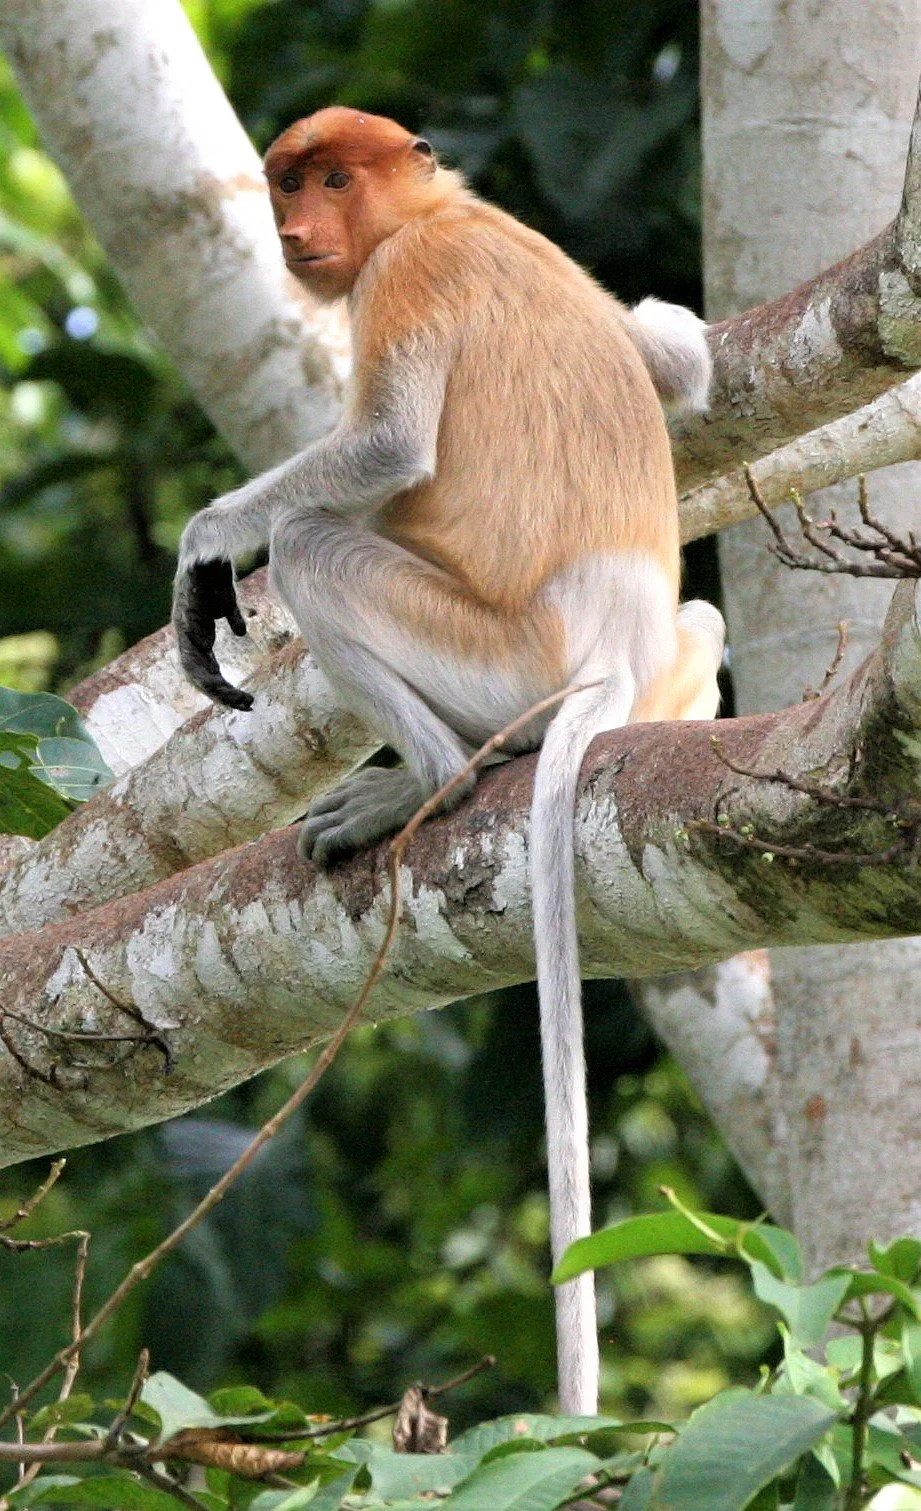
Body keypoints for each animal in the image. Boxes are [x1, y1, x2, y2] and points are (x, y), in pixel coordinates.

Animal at [172, 107, 725, 1414]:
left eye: (333, 180)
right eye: (288, 182)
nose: (295, 231)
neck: (441, 211)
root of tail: (609, 660)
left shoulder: (406, 275)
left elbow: (385, 447)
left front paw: (208, 544)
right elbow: (673, 356)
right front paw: (673, 347)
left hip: (499, 658)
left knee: (317, 540)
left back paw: (429, 779)